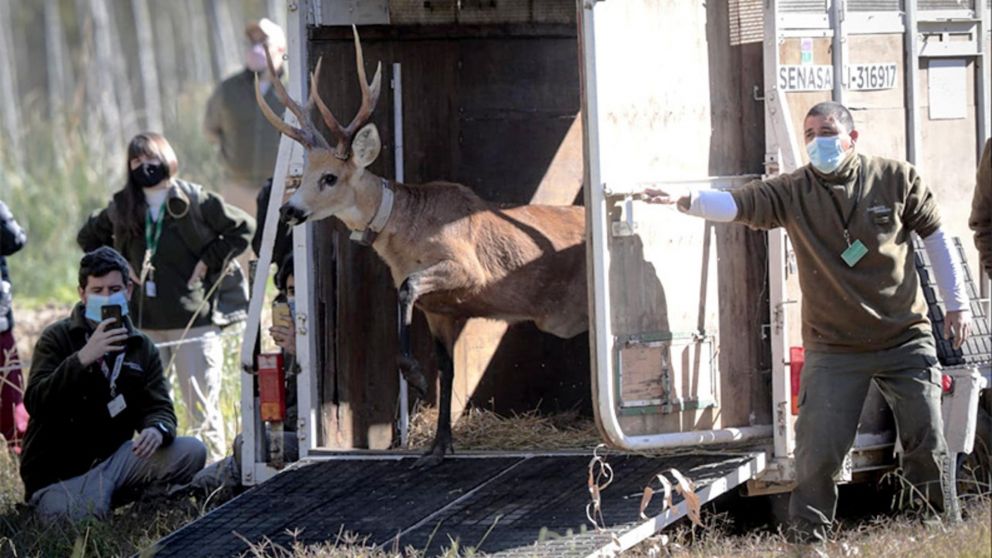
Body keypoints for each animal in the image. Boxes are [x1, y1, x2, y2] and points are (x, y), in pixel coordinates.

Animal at [256, 27, 588, 465]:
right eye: (304, 173)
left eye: (329, 177)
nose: (288, 210)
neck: (408, 230)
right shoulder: (439, 309)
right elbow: (446, 367)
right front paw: (439, 445)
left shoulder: (468, 269)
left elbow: (405, 288)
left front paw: (414, 378)